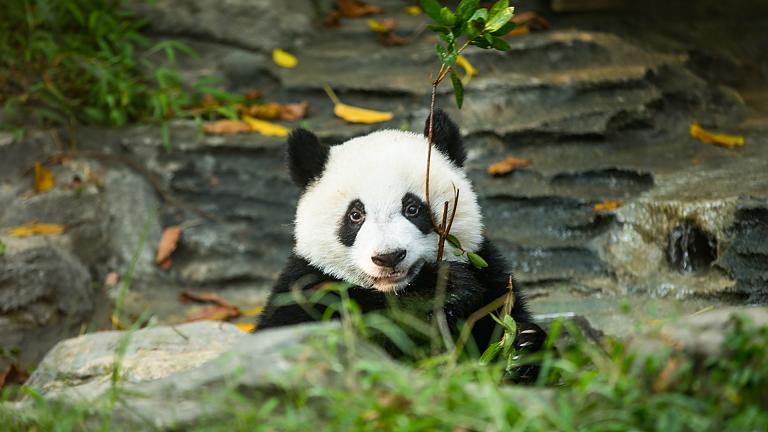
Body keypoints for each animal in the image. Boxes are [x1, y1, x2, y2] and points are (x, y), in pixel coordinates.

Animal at [258, 110, 545, 366]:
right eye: (355, 215)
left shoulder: (488, 273)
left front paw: (522, 345)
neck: (393, 290)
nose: (389, 257)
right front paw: (438, 289)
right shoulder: (306, 287)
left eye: (413, 208)